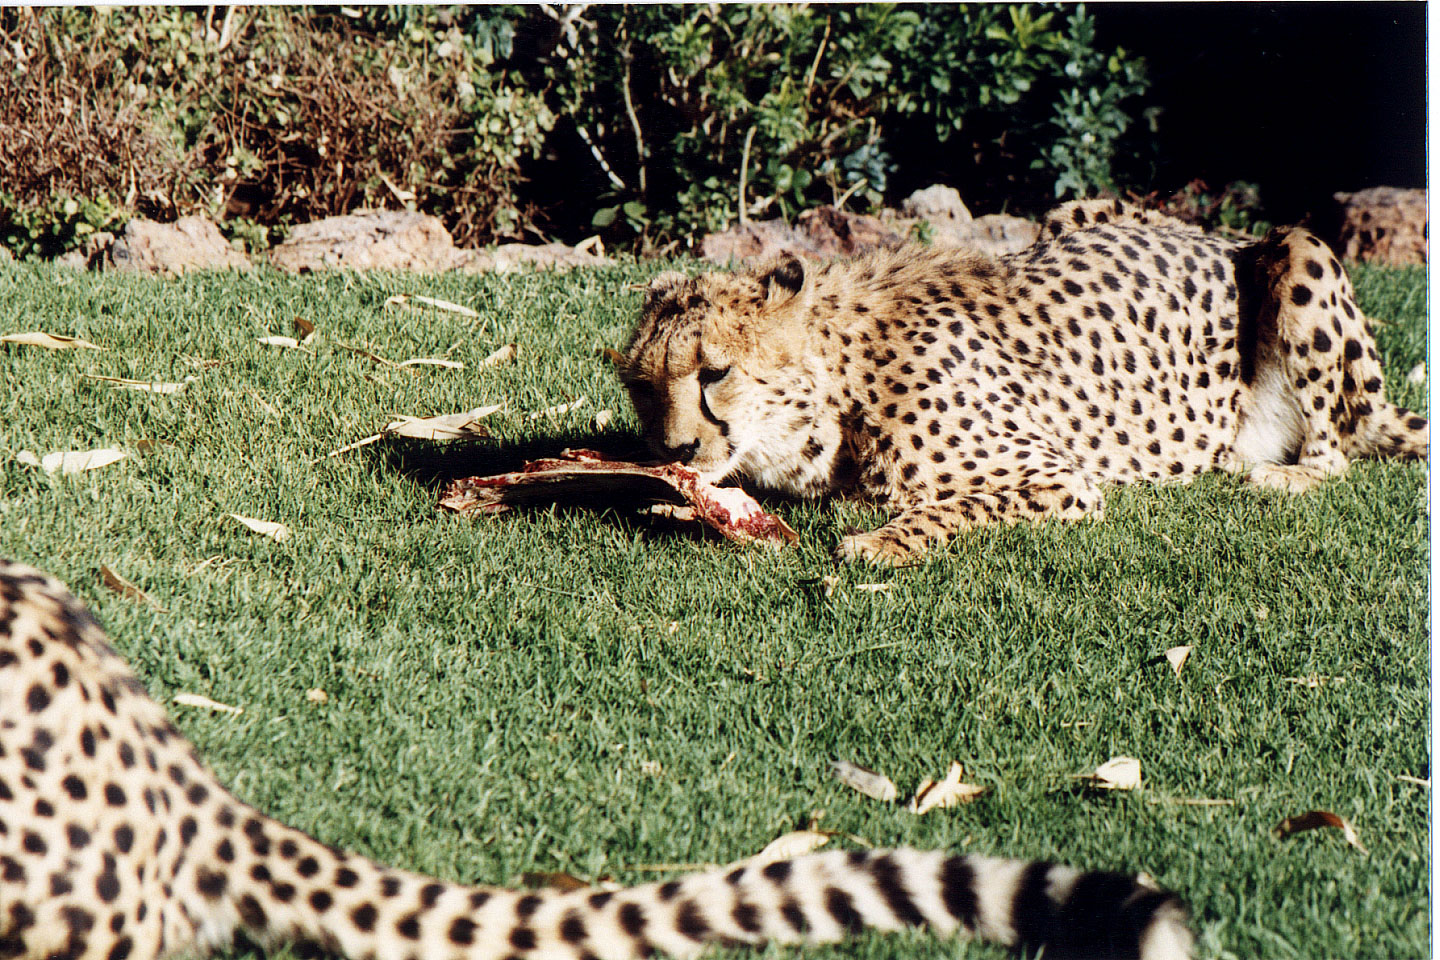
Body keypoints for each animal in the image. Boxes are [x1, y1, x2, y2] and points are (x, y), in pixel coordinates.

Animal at [622, 200, 1428, 567]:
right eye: (641, 388)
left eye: (716, 372)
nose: (673, 449)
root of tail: (1218, 236)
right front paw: (667, 497)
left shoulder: (1061, 479)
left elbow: (956, 507)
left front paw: (878, 541)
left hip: (1300, 249)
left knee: (1337, 454)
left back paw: (1280, 474)